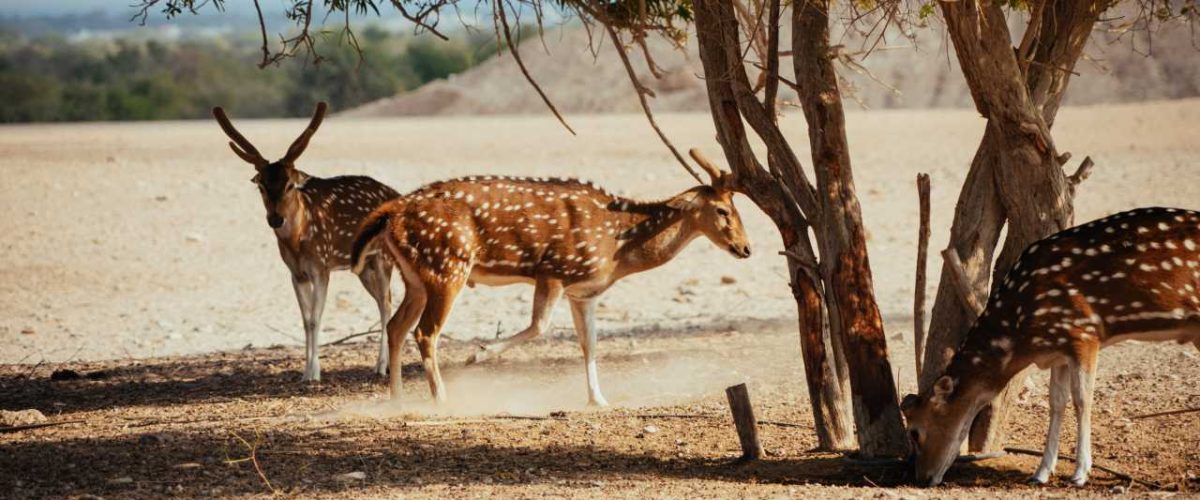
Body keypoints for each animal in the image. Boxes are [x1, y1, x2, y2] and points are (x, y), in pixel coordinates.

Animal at [213, 101, 400, 381]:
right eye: (261, 186)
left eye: (290, 185)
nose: (276, 218)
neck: (298, 242)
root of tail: (397, 194)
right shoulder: (296, 273)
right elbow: (304, 320)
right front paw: (305, 372)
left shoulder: (322, 266)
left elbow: (315, 318)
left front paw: (314, 373)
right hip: (363, 268)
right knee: (383, 301)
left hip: (382, 257)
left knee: (387, 305)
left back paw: (380, 366)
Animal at [348, 148, 753, 405]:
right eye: (722, 210)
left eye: (737, 208)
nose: (746, 248)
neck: (617, 248)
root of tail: (391, 211)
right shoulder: (554, 270)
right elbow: (540, 327)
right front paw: (479, 353)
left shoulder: (583, 292)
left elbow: (590, 343)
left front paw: (599, 399)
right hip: (447, 266)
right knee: (425, 331)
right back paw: (443, 398)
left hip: (415, 275)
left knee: (397, 326)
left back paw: (397, 399)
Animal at [902, 207, 1200, 486]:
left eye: (915, 431)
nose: (922, 477)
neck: (1021, 333)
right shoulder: (1058, 350)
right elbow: (1057, 402)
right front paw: (1041, 472)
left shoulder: (1084, 332)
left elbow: (1082, 399)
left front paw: (1080, 473)